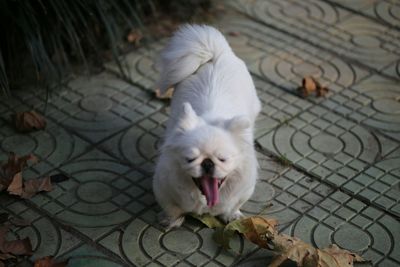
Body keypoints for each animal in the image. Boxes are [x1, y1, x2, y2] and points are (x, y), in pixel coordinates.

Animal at [152, 25, 260, 229]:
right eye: (190, 159)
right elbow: (172, 208)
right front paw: (171, 221)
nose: (208, 163)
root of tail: (217, 54)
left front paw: (232, 216)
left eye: (223, 159)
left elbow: (235, 204)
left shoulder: (244, 189)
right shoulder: (163, 187)